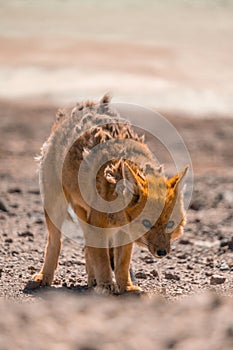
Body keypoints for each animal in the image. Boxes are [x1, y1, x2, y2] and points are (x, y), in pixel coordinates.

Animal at [30, 94, 187, 294]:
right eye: (146, 223)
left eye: (171, 224)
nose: (162, 252)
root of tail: (87, 105)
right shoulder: (99, 226)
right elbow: (104, 260)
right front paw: (106, 284)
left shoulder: (122, 232)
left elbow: (122, 262)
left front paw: (126, 286)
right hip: (56, 207)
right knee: (54, 243)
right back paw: (45, 276)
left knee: (88, 248)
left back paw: (92, 279)